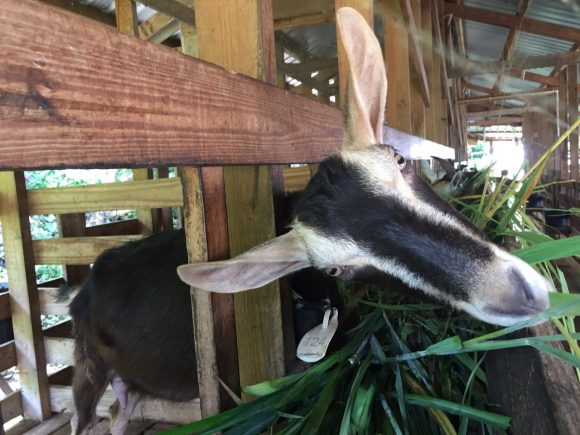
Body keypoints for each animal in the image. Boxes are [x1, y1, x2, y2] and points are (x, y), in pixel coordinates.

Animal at [70, 8, 552, 434]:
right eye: (336, 269)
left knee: (120, 411)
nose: (520, 296)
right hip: (87, 368)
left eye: (400, 161)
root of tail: (85, 290)